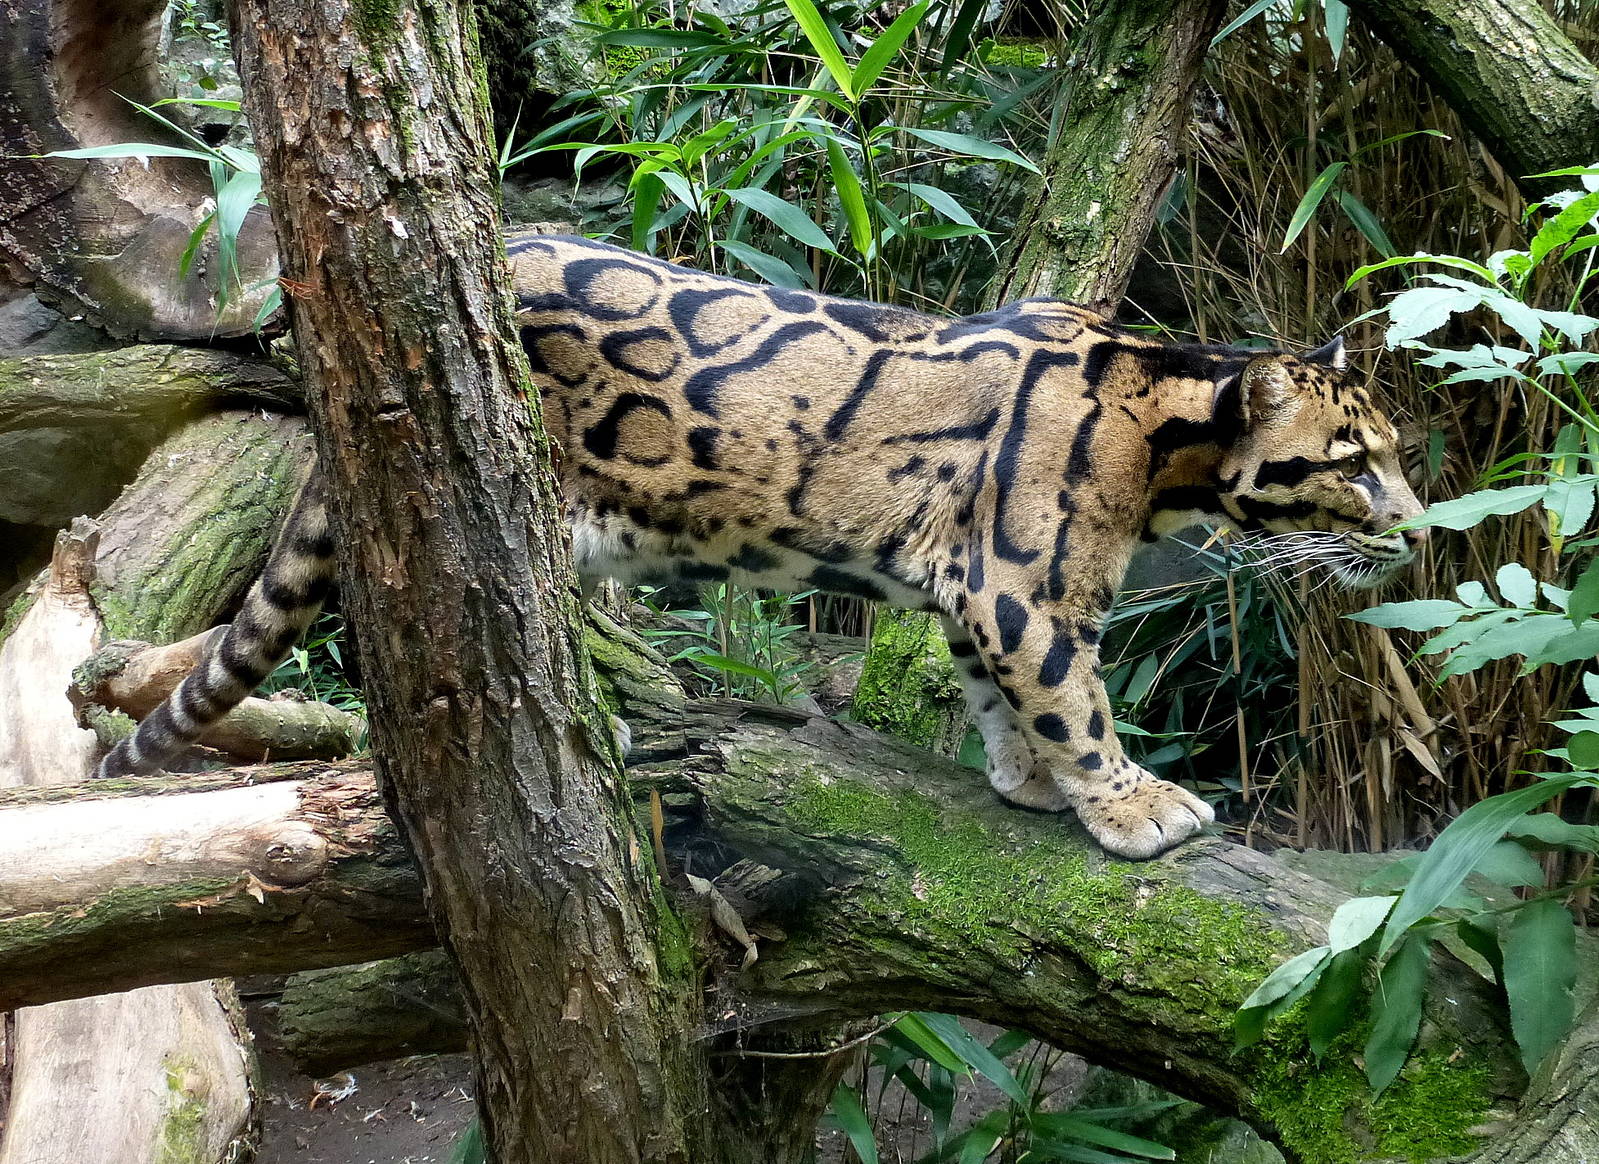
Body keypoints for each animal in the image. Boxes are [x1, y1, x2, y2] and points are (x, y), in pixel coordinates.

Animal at [95, 233, 1427, 860]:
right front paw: (1128, 801)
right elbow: (1074, 701)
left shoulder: (973, 589)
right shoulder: (1022, 590)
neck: (1165, 422)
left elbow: (996, 697)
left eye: (1395, 450)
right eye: (1355, 464)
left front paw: (1024, 780)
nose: (1418, 531)